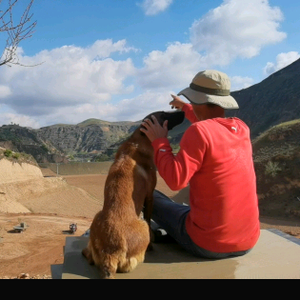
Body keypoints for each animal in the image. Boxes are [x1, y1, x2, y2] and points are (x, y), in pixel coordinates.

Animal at [82, 110, 185, 278]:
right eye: (164, 114)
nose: (183, 111)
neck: (138, 141)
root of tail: (110, 254)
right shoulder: (149, 196)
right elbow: (149, 217)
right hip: (142, 225)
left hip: (97, 218)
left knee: (90, 256)